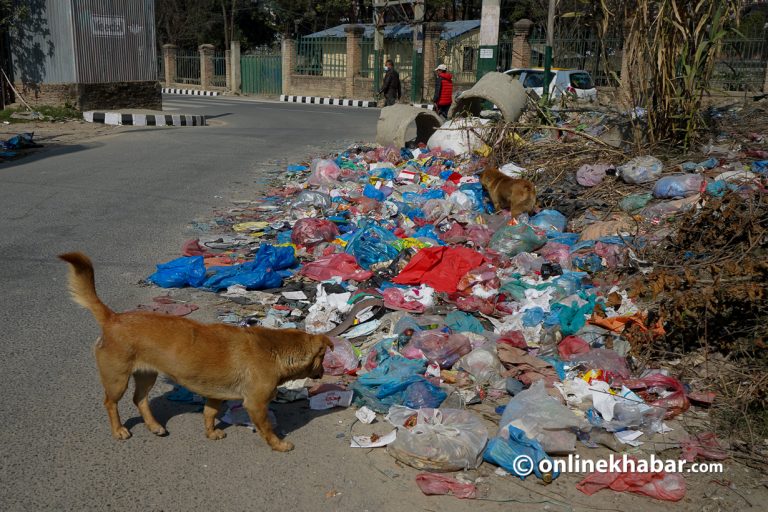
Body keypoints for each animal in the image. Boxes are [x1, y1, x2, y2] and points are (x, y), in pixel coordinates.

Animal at [57, 252, 332, 452]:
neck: (273, 347)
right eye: (323, 359)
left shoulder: (215, 395)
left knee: (140, 400)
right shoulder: (255, 404)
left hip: (146, 375)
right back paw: (119, 430)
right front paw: (279, 444)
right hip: (117, 379)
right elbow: (267, 429)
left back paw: (154, 426)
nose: (324, 373)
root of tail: (113, 318)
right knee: (110, 403)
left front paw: (210, 432)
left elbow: (209, 414)